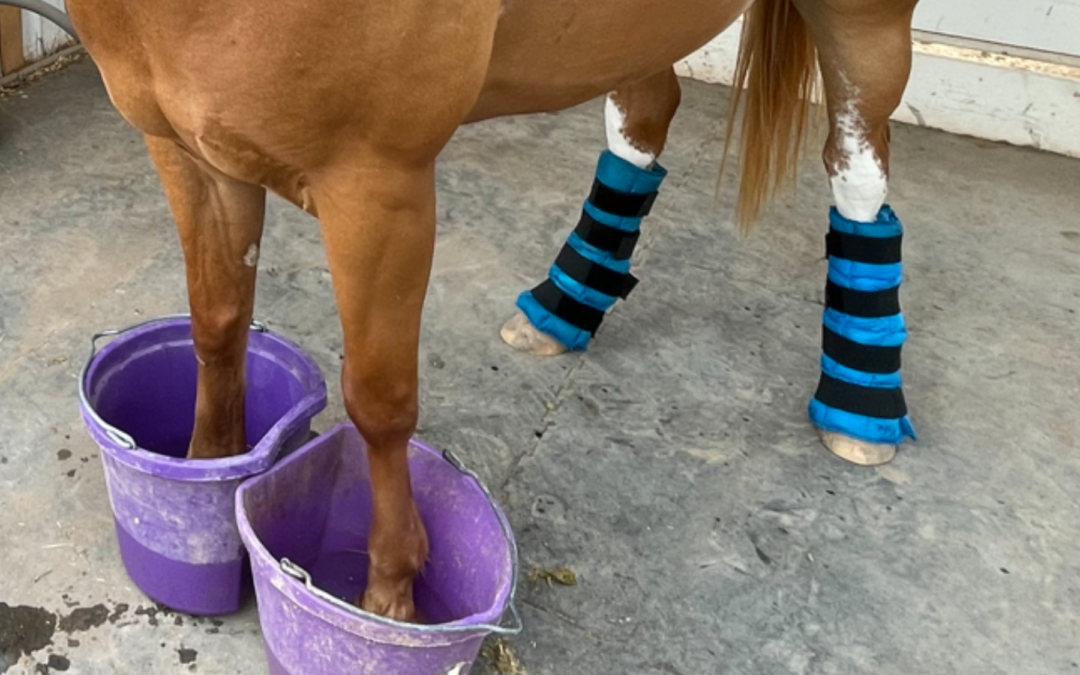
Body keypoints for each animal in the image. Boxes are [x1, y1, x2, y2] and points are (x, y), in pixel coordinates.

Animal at [64, 0, 921, 622]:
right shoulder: (190, 155)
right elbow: (217, 326)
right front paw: (203, 478)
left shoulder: (379, 191)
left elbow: (380, 404)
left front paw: (392, 593)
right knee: (648, 108)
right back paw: (562, 307)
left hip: (866, 23)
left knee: (859, 169)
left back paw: (863, 408)